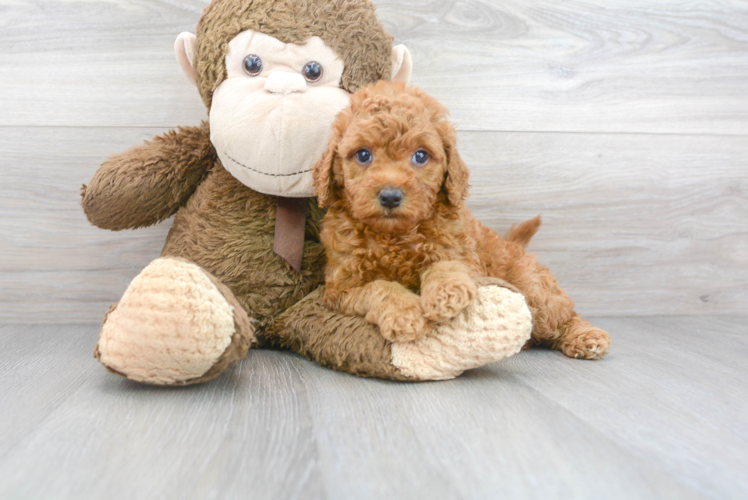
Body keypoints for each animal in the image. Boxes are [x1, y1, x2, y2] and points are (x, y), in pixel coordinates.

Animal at [312, 80, 612, 358]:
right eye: (363, 154)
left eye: (420, 155)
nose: (390, 196)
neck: (394, 236)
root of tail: (514, 245)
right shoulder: (341, 287)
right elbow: (380, 287)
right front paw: (405, 314)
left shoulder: (463, 254)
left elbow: (446, 265)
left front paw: (446, 293)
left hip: (533, 288)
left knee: (561, 314)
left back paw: (586, 337)